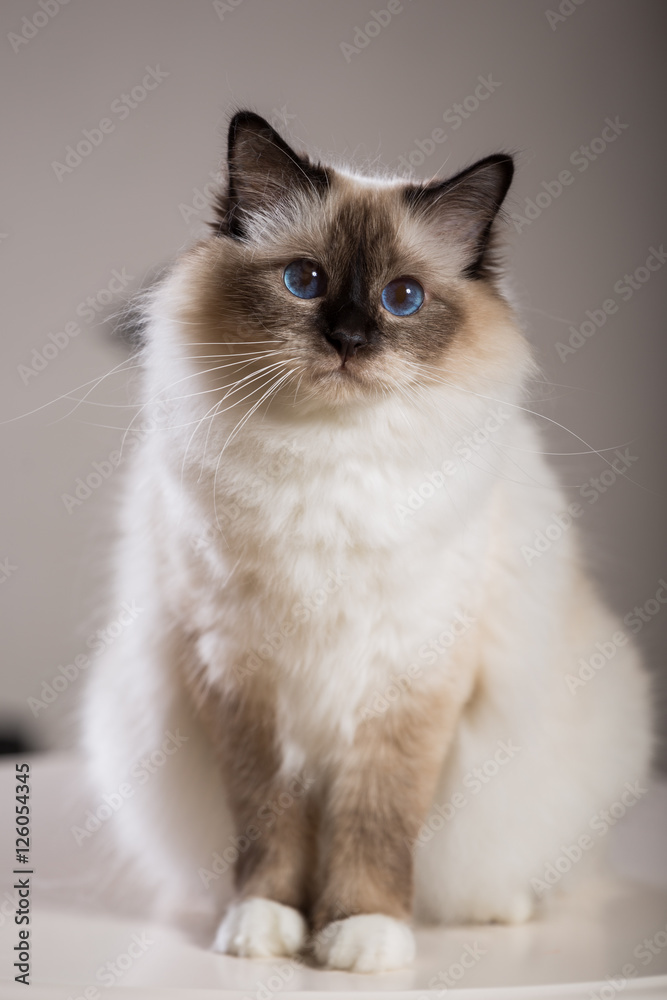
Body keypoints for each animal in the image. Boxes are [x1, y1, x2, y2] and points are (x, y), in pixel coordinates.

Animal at [81, 111, 656, 976]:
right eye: (304, 282)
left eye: (402, 298)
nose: (349, 339)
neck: (326, 465)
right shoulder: (240, 678)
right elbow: (269, 828)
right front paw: (266, 929)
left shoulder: (407, 681)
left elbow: (375, 824)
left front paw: (360, 937)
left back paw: (500, 907)